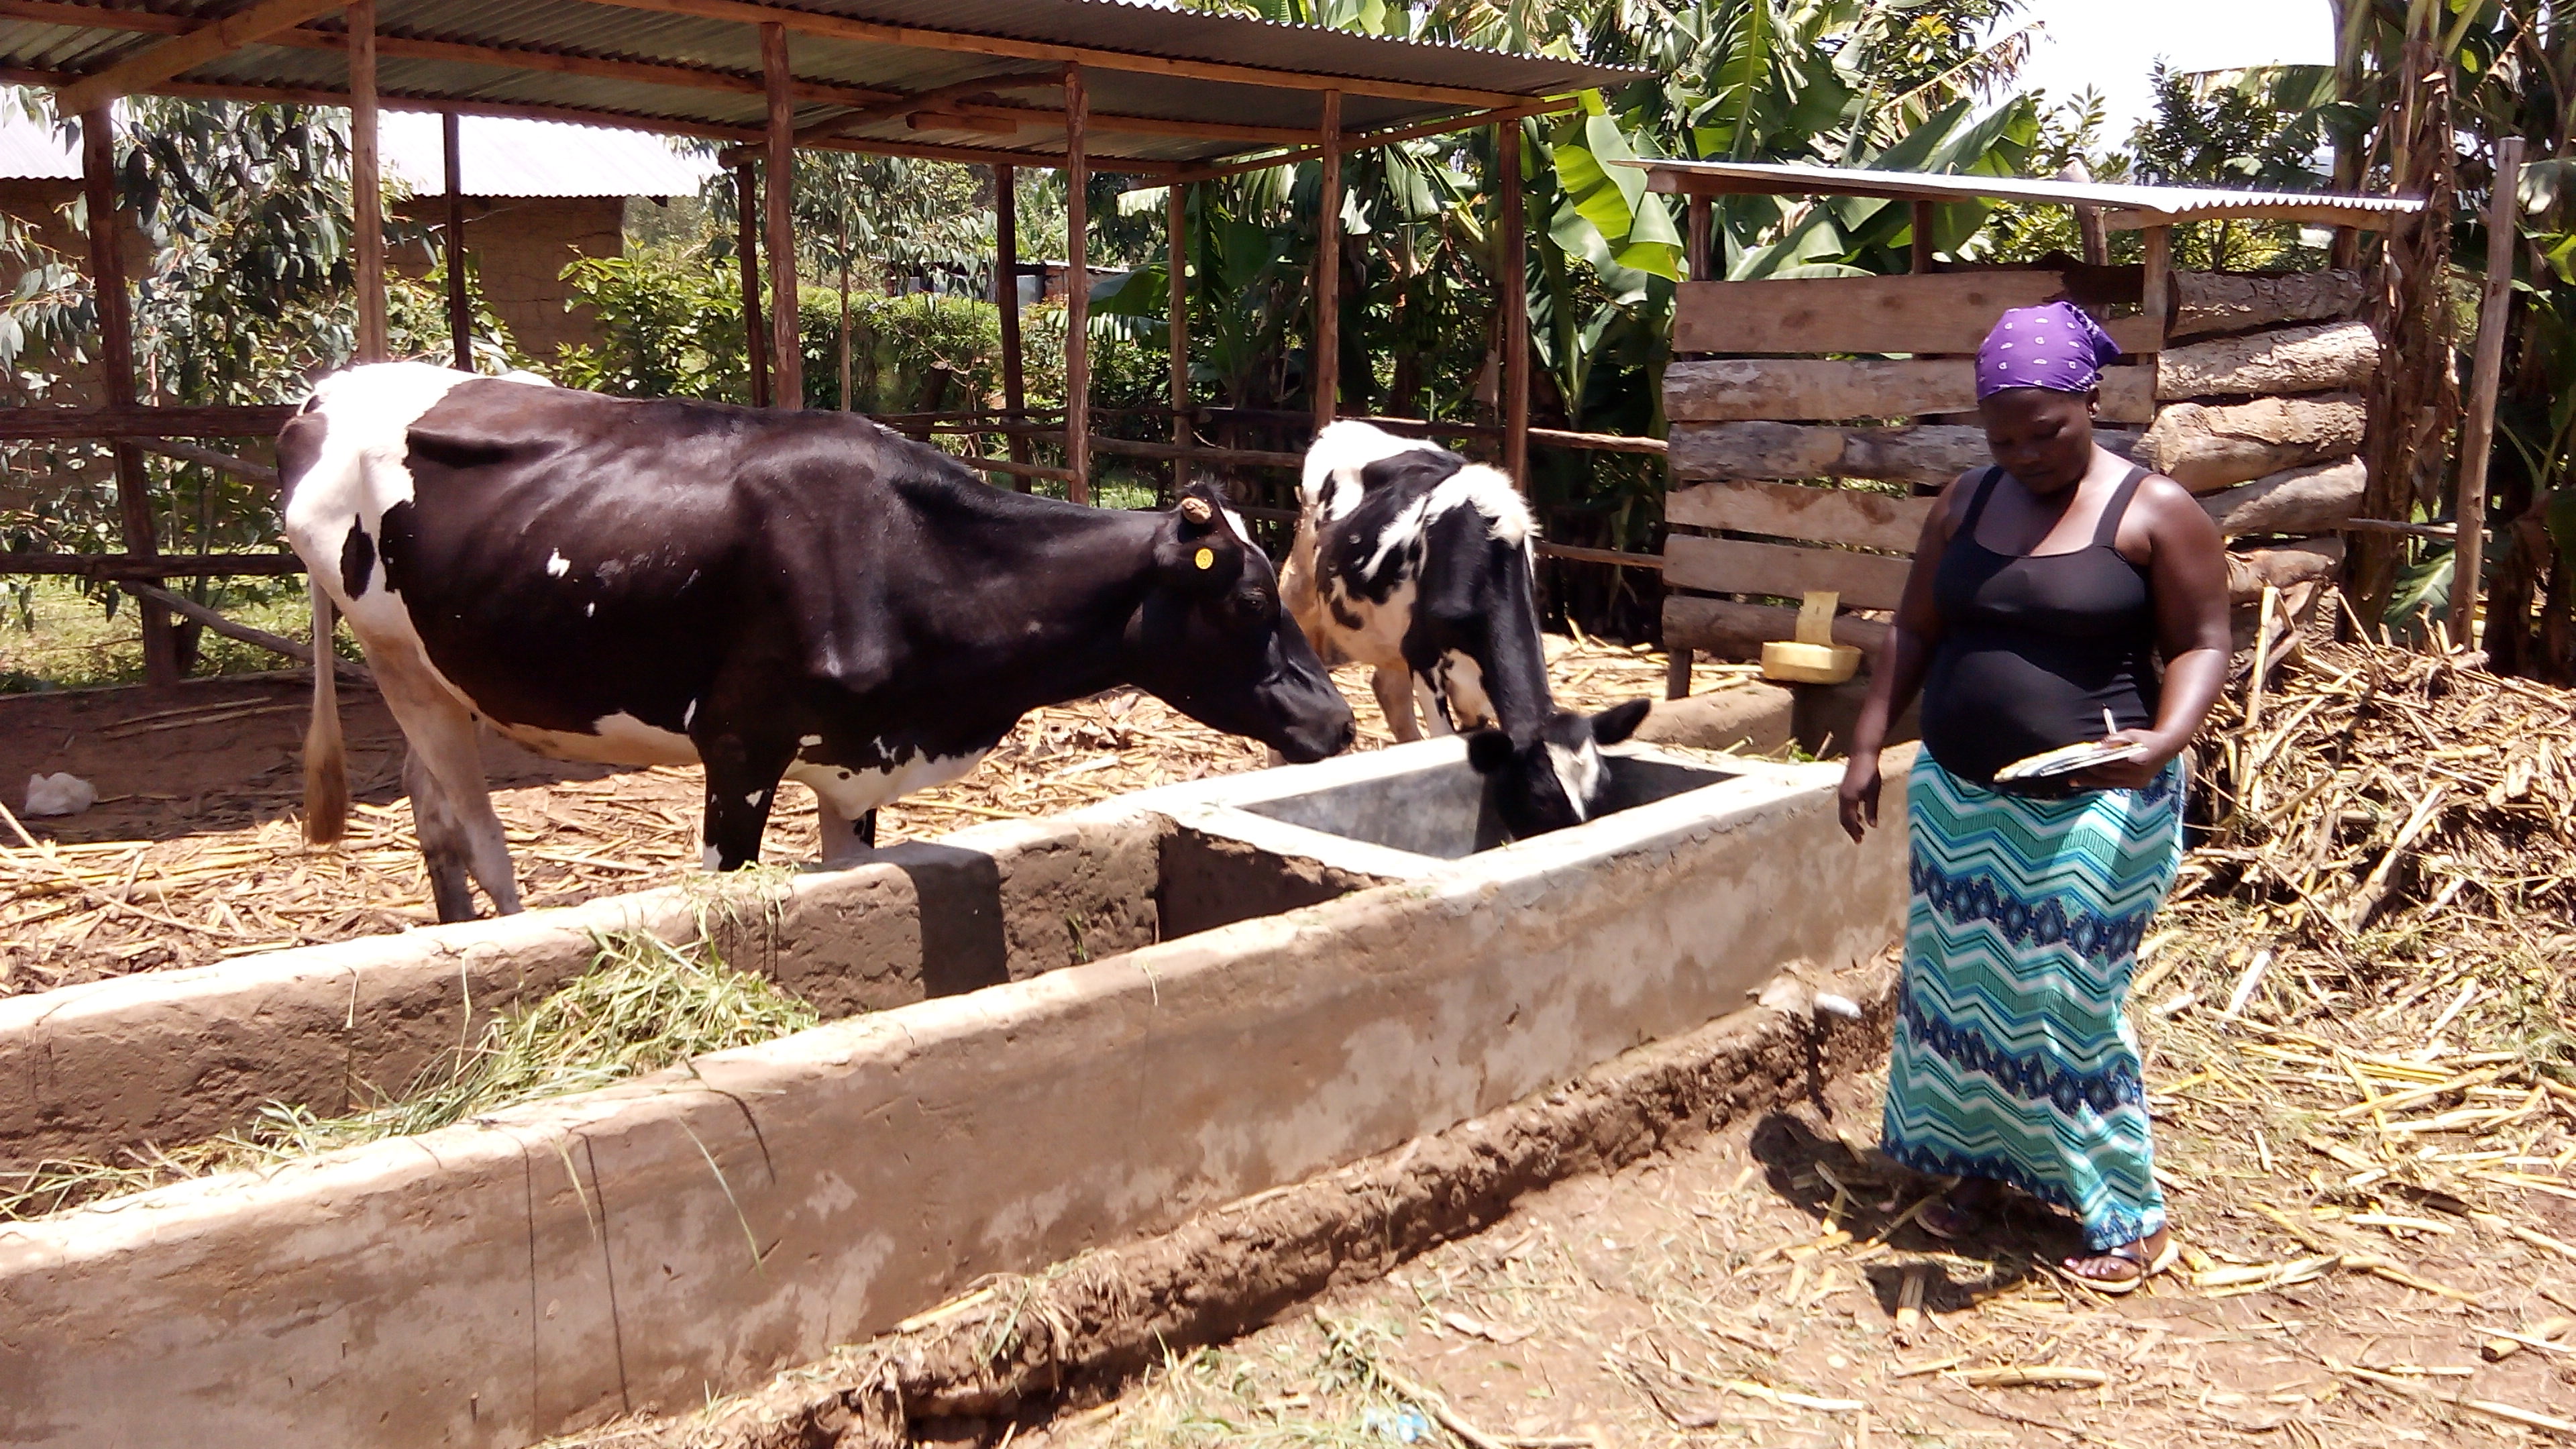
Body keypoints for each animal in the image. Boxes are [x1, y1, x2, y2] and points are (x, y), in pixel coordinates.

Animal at [282, 366, 1360, 918]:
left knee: (429, 810)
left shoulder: (856, 763)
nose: (1340, 723)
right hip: (395, 657)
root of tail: (324, 394)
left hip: (440, 674)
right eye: (1250, 600)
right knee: (478, 836)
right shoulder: (737, 746)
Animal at [1272, 417, 1648, 835]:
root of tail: (1343, 425)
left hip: (1390, 636)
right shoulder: (1423, 655)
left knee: (1389, 692)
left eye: (1602, 792)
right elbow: (1443, 736)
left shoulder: (1466, 681)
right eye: (1541, 798)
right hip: (1300, 584)